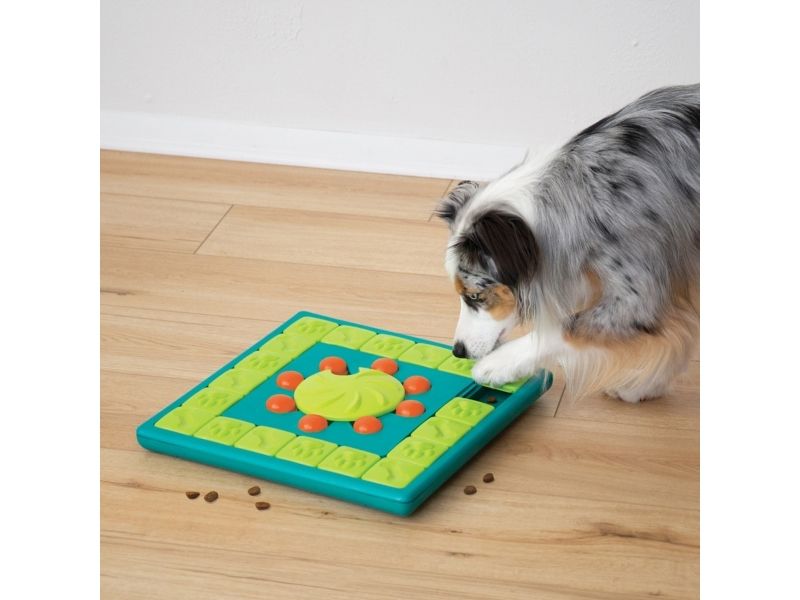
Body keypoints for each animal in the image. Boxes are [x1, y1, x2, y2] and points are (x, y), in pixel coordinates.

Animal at [435, 84, 699, 402]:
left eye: (475, 296)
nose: (457, 351)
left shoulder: (640, 287)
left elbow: (566, 326)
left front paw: (498, 365)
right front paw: (641, 387)